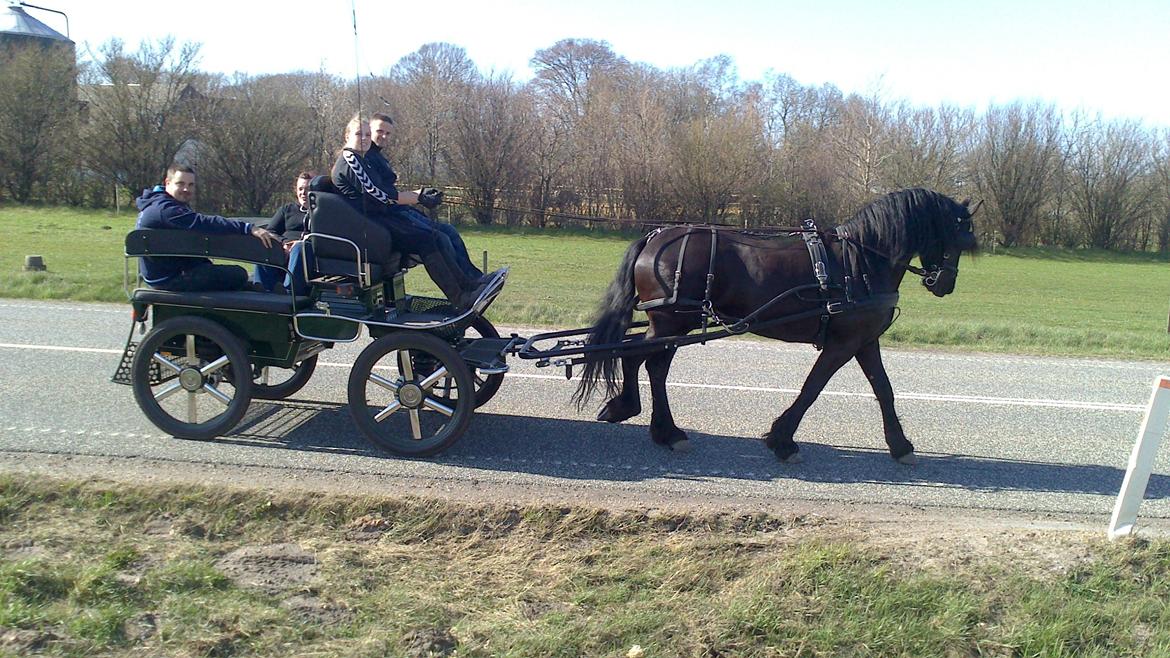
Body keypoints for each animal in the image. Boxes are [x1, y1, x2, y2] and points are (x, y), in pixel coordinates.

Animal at [575, 186, 978, 461]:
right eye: (956, 237)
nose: (944, 283)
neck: (861, 260)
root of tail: (656, 236)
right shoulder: (843, 343)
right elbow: (812, 388)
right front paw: (782, 440)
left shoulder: (864, 341)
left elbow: (884, 389)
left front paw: (900, 445)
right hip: (672, 321)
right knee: (644, 360)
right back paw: (656, 424)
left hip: (672, 323)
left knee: (643, 360)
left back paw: (651, 423)